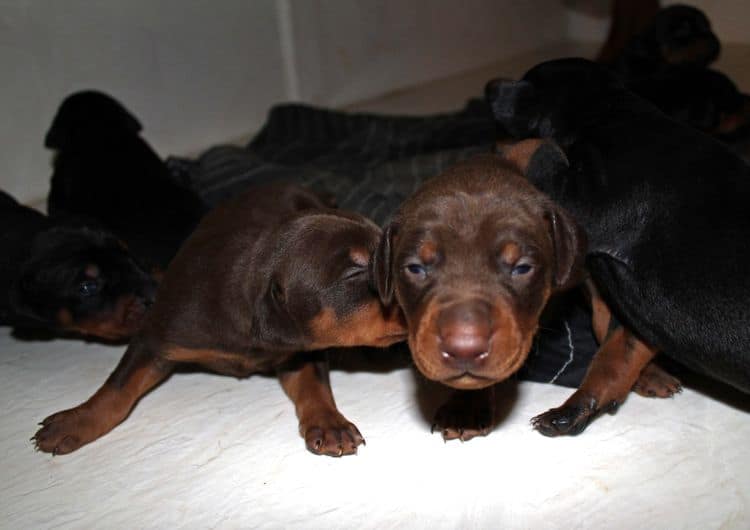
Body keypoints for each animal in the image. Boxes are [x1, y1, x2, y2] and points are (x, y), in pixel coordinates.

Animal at [32, 183, 408, 454]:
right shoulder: (158, 334)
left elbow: (313, 385)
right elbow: (118, 387)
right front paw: (75, 422)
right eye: (355, 271)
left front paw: (330, 424)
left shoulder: (301, 350)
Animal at [488, 57, 750, 436]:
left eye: (526, 80)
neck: (612, 112)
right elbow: (613, 354)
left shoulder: (580, 195)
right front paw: (580, 406)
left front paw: (506, 147)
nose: (490, 88)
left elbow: (538, 149)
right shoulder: (628, 310)